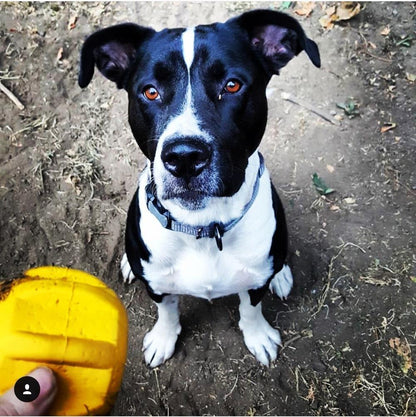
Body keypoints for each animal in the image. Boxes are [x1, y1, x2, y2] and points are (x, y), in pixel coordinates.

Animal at [79, 9, 320, 366]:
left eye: (232, 85)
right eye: (150, 91)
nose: (184, 157)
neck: (203, 228)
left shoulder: (255, 282)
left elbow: (251, 308)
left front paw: (259, 335)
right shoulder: (158, 286)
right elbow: (167, 310)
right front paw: (163, 339)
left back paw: (282, 275)